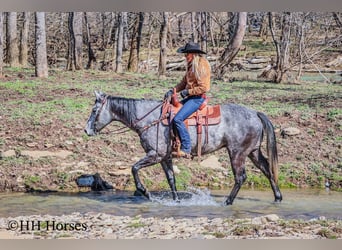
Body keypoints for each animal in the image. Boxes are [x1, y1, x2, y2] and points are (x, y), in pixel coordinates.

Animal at [84, 91, 282, 204]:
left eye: (94, 111)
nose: (86, 130)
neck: (151, 119)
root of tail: (255, 113)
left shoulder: (155, 155)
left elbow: (134, 168)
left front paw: (145, 192)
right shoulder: (165, 158)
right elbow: (171, 179)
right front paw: (177, 200)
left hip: (237, 153)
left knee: (240, 177)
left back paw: (227, 202)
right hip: (253, 152)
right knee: (267, 170)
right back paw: (278, 197)